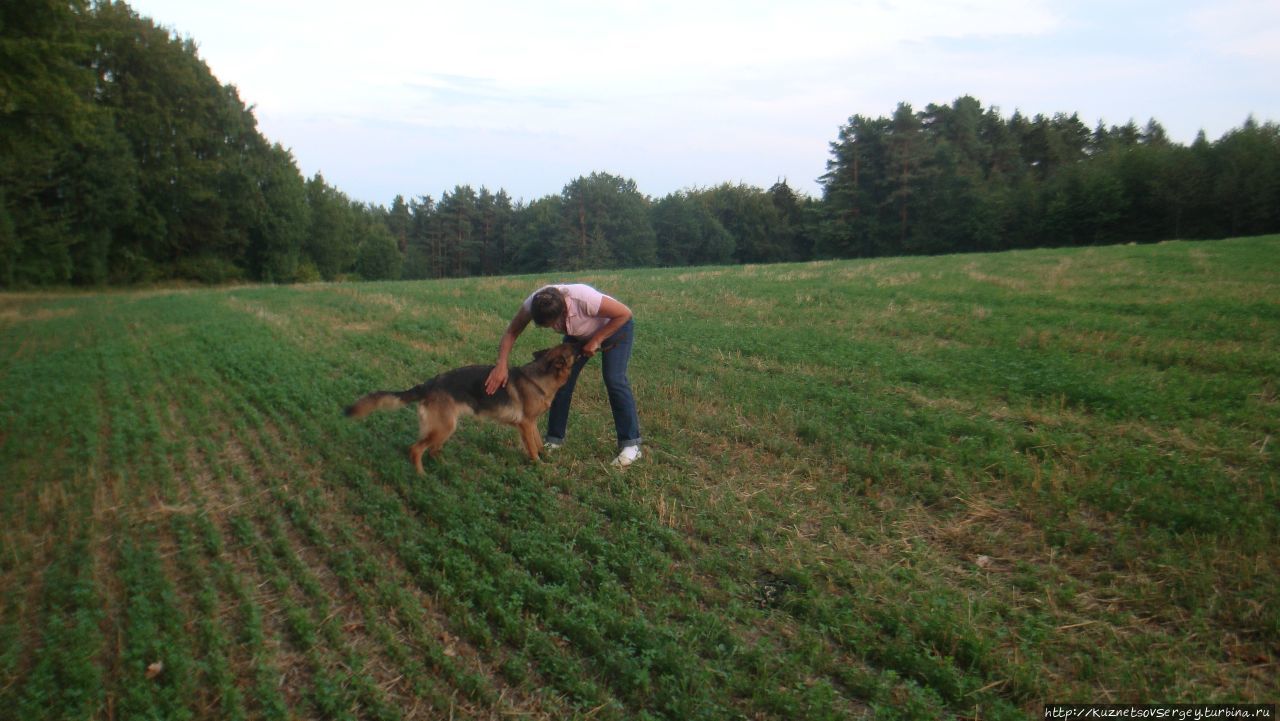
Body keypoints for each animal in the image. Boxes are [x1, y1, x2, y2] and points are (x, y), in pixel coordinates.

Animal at [340, 343, 581, 473]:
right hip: (444, 428)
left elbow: (538, 442)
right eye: (571, 348)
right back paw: (421, 475)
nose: (581, 342)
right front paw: (539, 464)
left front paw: (546, 457)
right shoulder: (525, 424)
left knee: (432, 450)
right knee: (416, 449)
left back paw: (445, 466)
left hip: (447, 427)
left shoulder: (532, 424)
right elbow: (531, 447)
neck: (540, 377)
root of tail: (428, 384)